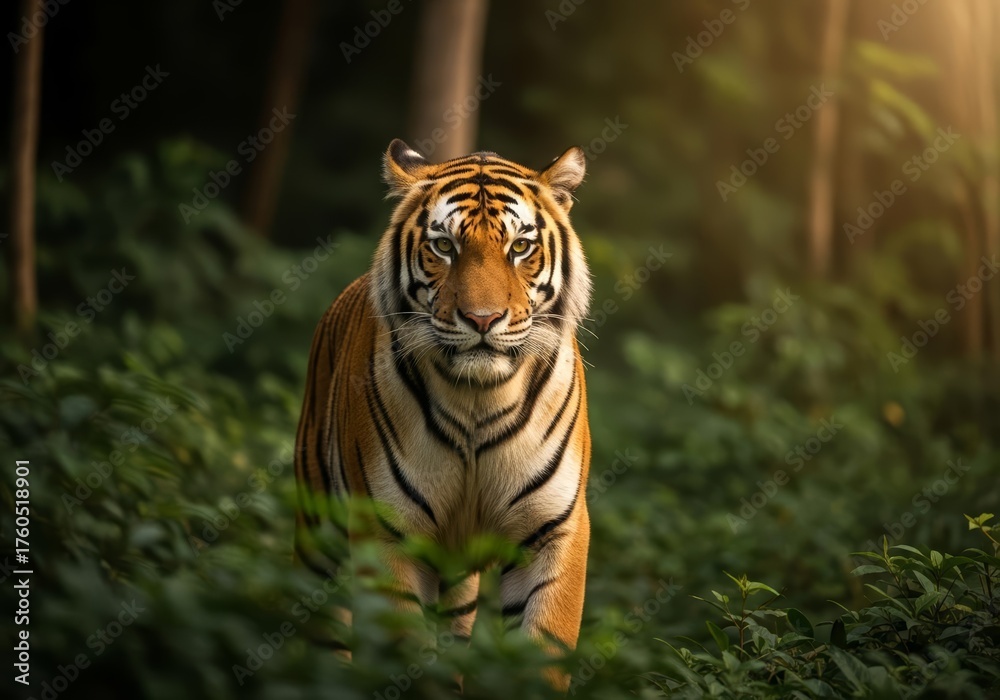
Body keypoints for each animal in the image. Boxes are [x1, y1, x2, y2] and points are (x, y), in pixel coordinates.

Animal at [293, 139, 592, 689]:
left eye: (520, 247)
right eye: (445, 246)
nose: (482, 319)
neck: (479, 397)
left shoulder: (553, 529)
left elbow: (541, 656)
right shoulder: (388, 532)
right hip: (316, 531)